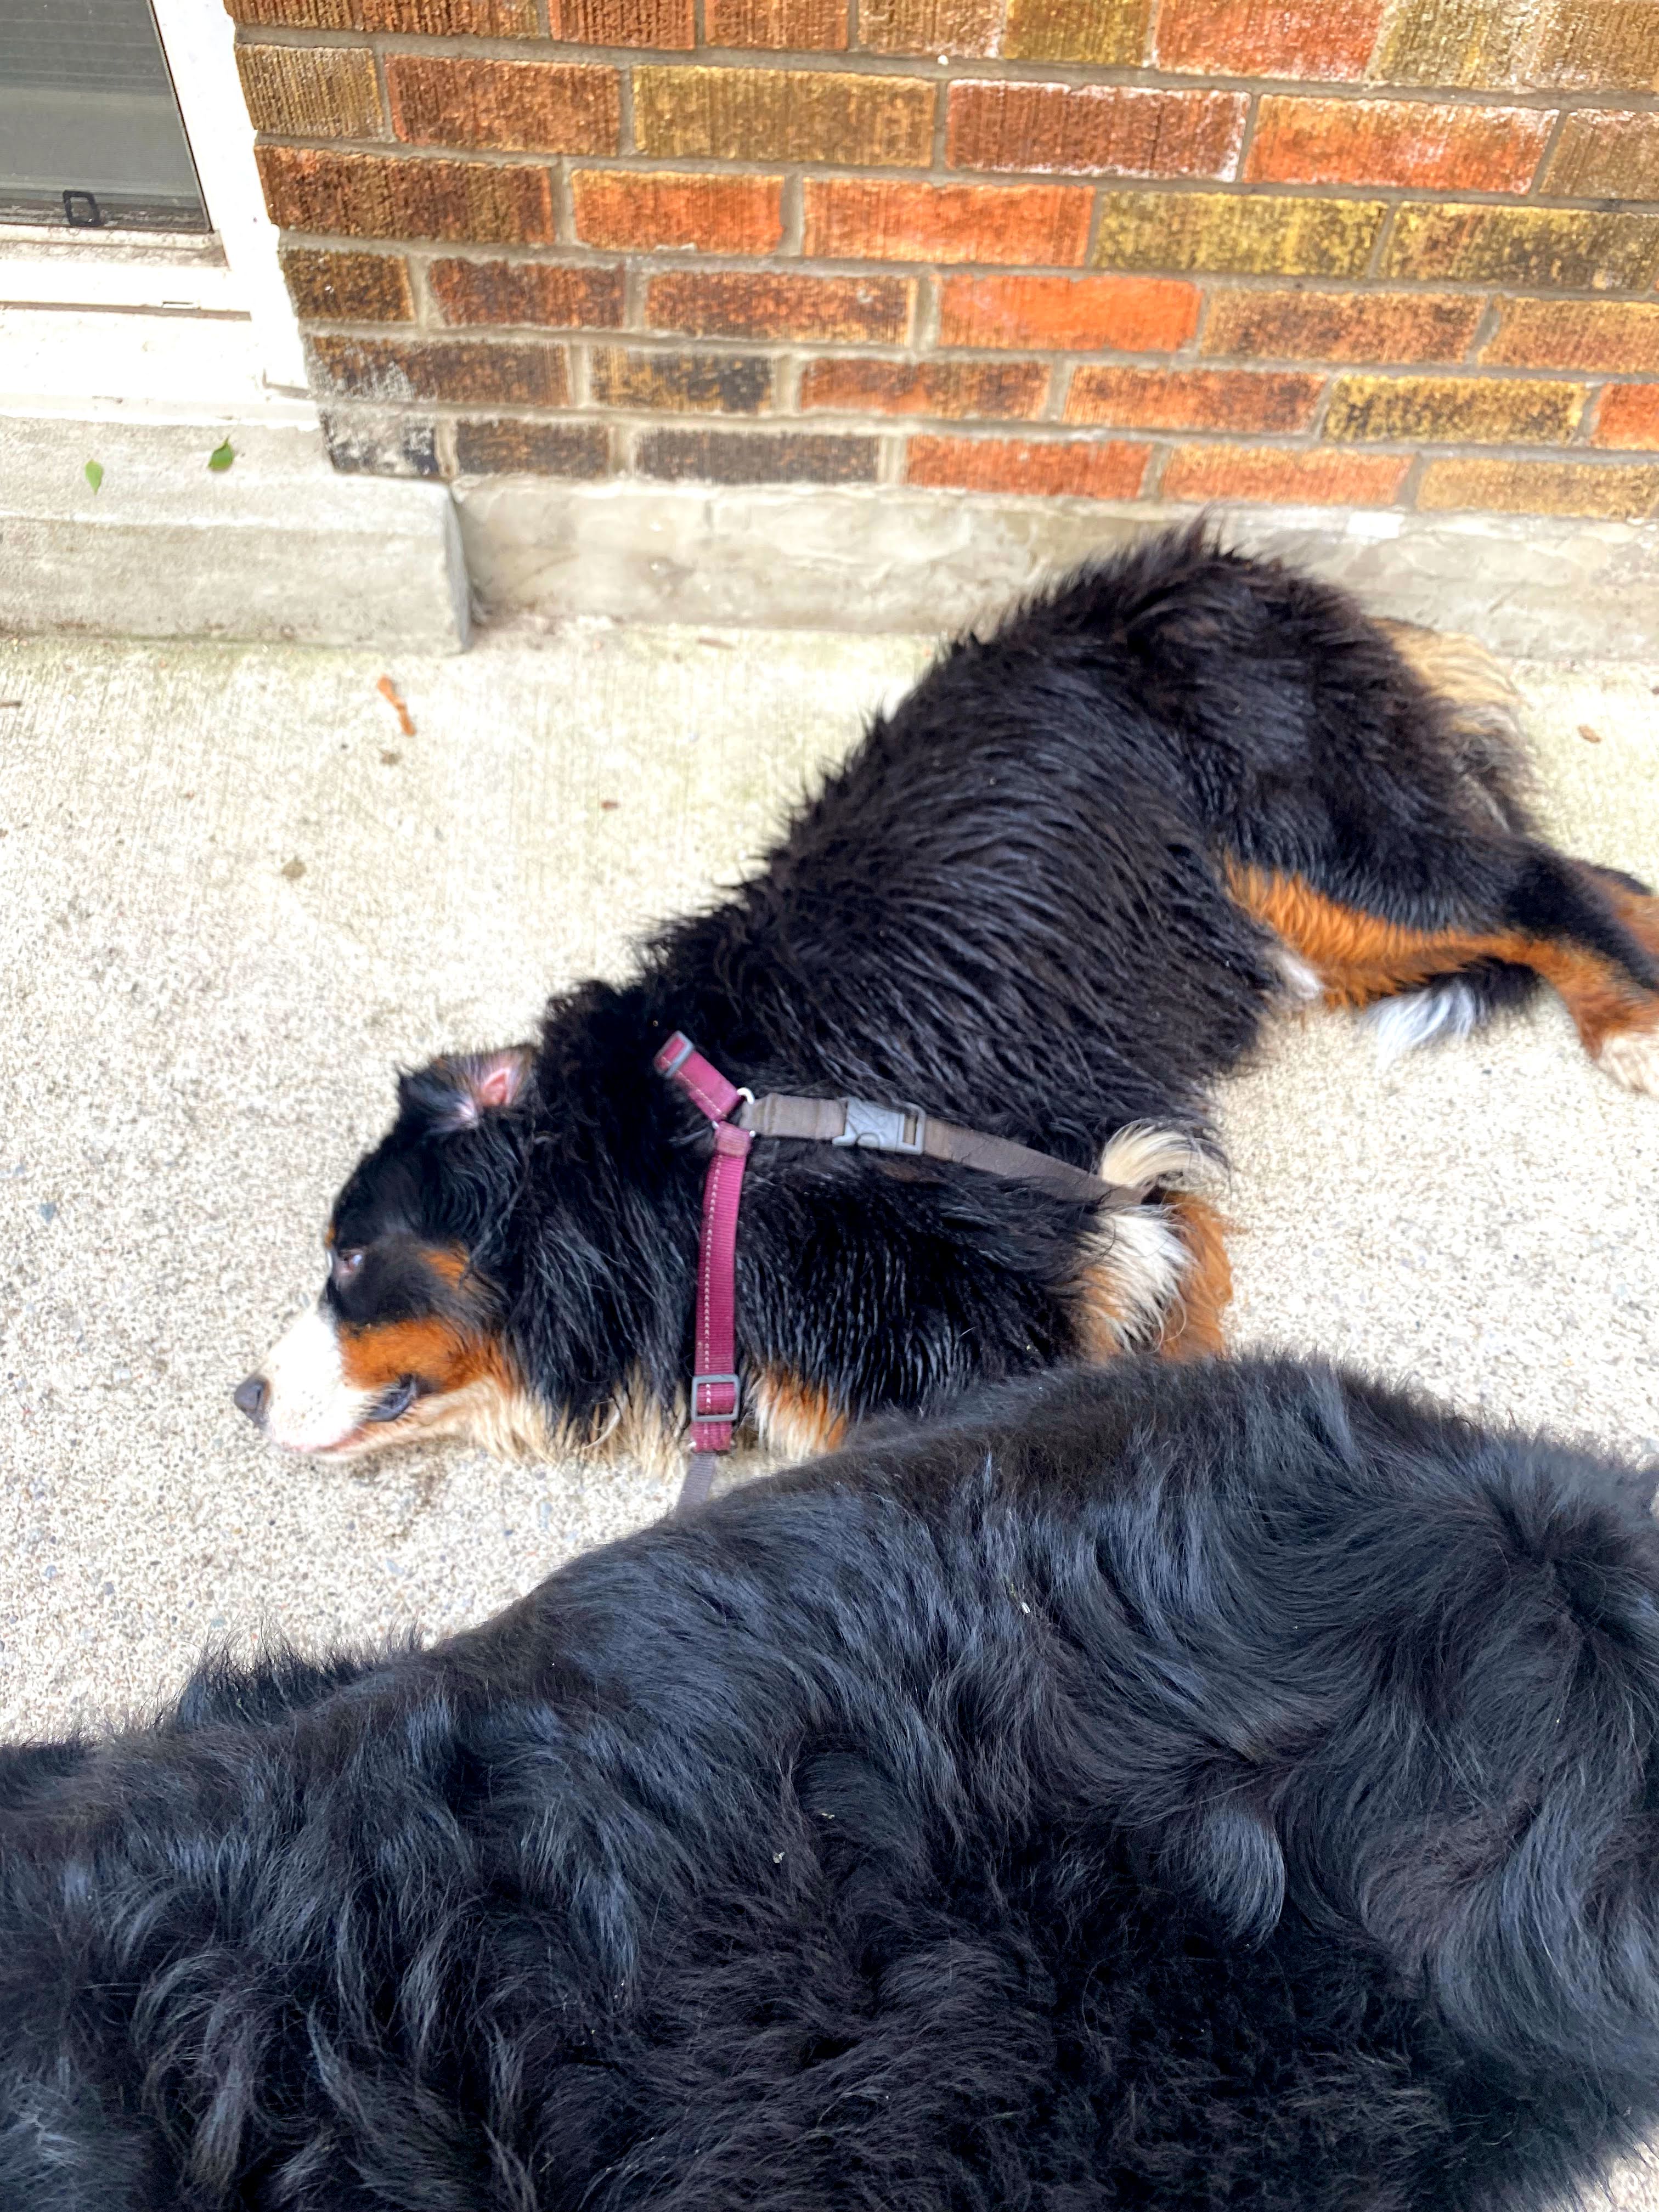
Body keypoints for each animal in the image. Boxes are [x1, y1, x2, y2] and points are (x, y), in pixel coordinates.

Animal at [231, 524, 1659, 1469]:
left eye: (349, 1257)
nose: (243, 1395)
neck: (689, 1164)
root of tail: (1220, 566)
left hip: (1311, 841)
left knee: (1552, 882)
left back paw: (1633, 1029)